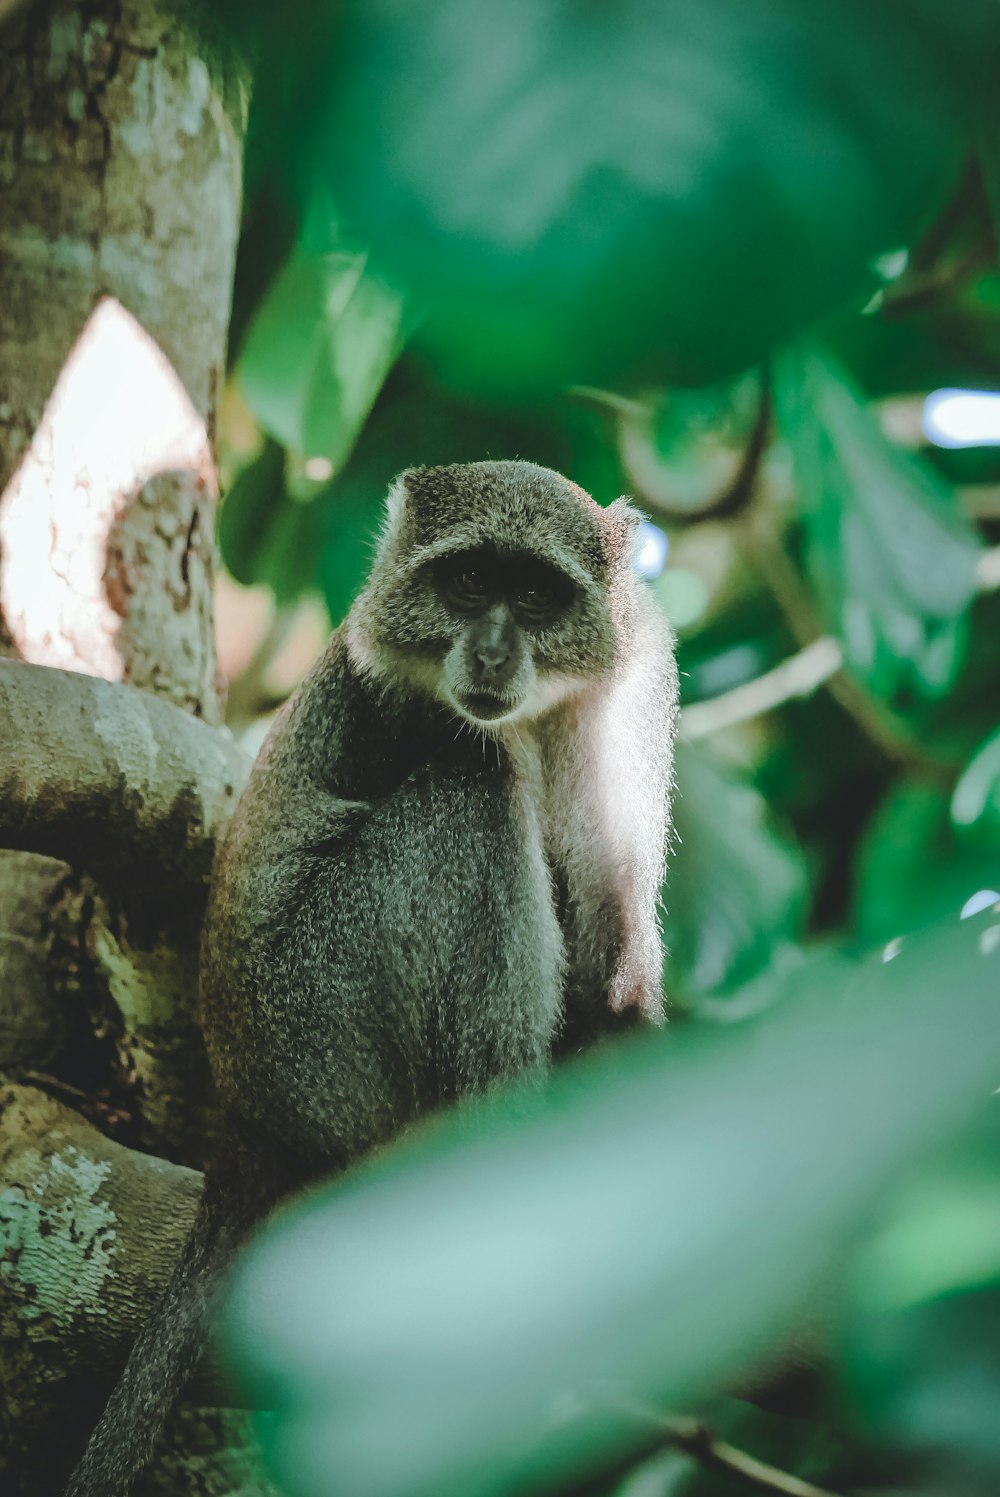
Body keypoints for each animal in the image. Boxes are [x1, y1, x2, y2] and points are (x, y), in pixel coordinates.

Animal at [64, 461, 679, 1491]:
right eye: (468, 581)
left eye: (537, 594)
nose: (494, 651)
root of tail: (245, 1125)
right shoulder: (401, 699)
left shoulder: (634, 688)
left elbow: (613, 946)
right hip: (320, 1029)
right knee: (469, 789)